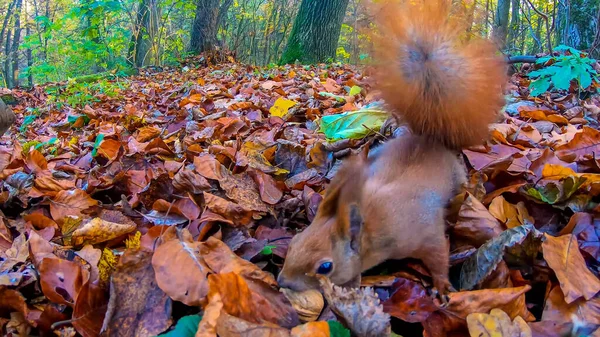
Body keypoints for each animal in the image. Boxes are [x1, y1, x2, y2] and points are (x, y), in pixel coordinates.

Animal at [276, 0, 506, 292]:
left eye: (325, 267)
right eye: (295, 241)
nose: (281, 281)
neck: (372, 225)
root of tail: (429, 139)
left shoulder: (423, 230)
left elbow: (438, 253)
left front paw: (443, 285)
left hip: (456, 176)